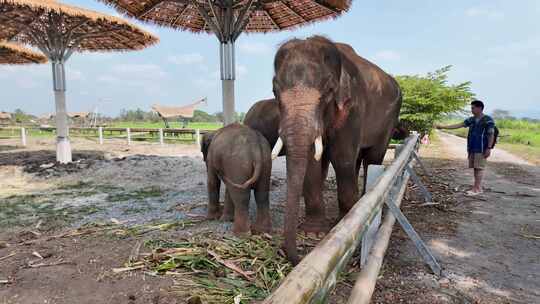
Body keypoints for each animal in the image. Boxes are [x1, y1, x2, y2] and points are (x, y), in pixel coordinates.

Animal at [272, 36, 402, 264]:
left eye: (328, 92)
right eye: (275, 92)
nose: (297, 257)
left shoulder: (354, 107)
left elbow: (342, 157)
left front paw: (343, 224)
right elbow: (313, 162)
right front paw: (313, 232)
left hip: (390, 119)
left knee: (372, 157)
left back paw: (365, 199)